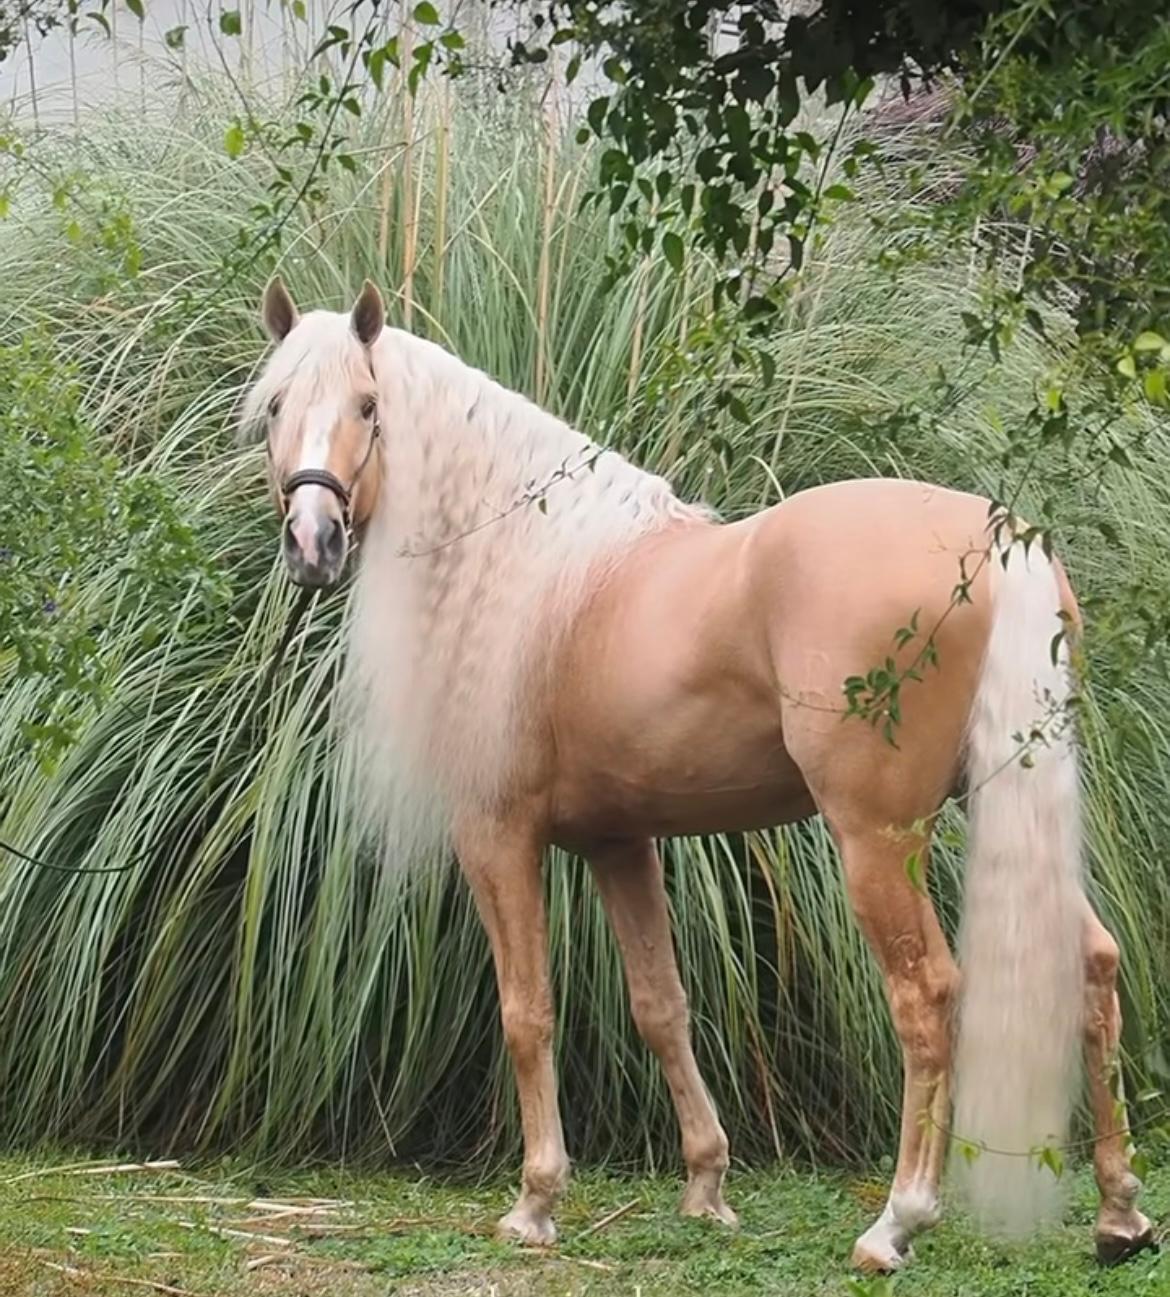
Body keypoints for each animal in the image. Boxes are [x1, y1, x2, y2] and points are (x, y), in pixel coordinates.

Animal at [242, 276, 1153, 1273]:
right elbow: (660, 1006)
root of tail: (995, 538)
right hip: (1002, 820)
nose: (313, 541)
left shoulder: (498, 836)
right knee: (1093, 964)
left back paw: (897, 1221)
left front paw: (535, 1201)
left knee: (928, 996)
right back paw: (1120, 1214)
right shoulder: (619, 843)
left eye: (370, 406)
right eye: (277, 408)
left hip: (878, 840)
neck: (528, 572)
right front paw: (707, 1187)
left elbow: (528, 1010)